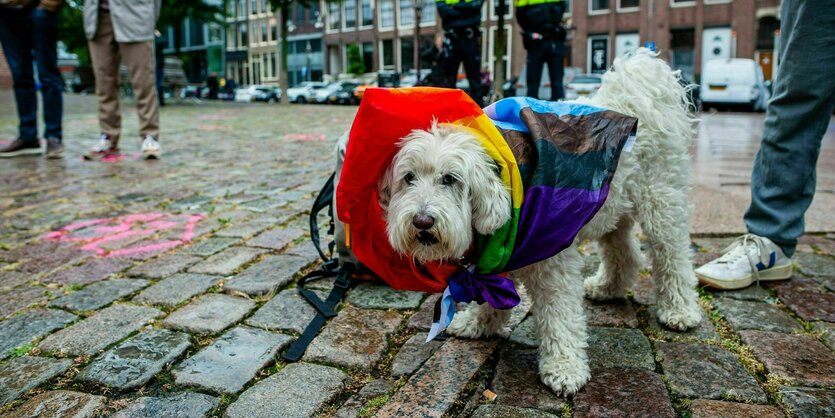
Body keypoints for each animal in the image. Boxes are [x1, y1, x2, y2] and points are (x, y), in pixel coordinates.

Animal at [380, 49, 704, 396]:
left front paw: (564, 368)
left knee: (672, 256)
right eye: (408, 178)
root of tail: (638, 88)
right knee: (626, 253)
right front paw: (479, 323)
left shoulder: (552, 260)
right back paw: (607, 287)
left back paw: (679, 310)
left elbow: (560, 315)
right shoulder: (502, 252)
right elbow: (494, 292)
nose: (422, 221)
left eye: (450, 179)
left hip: (662, 201)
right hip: (613, 209)